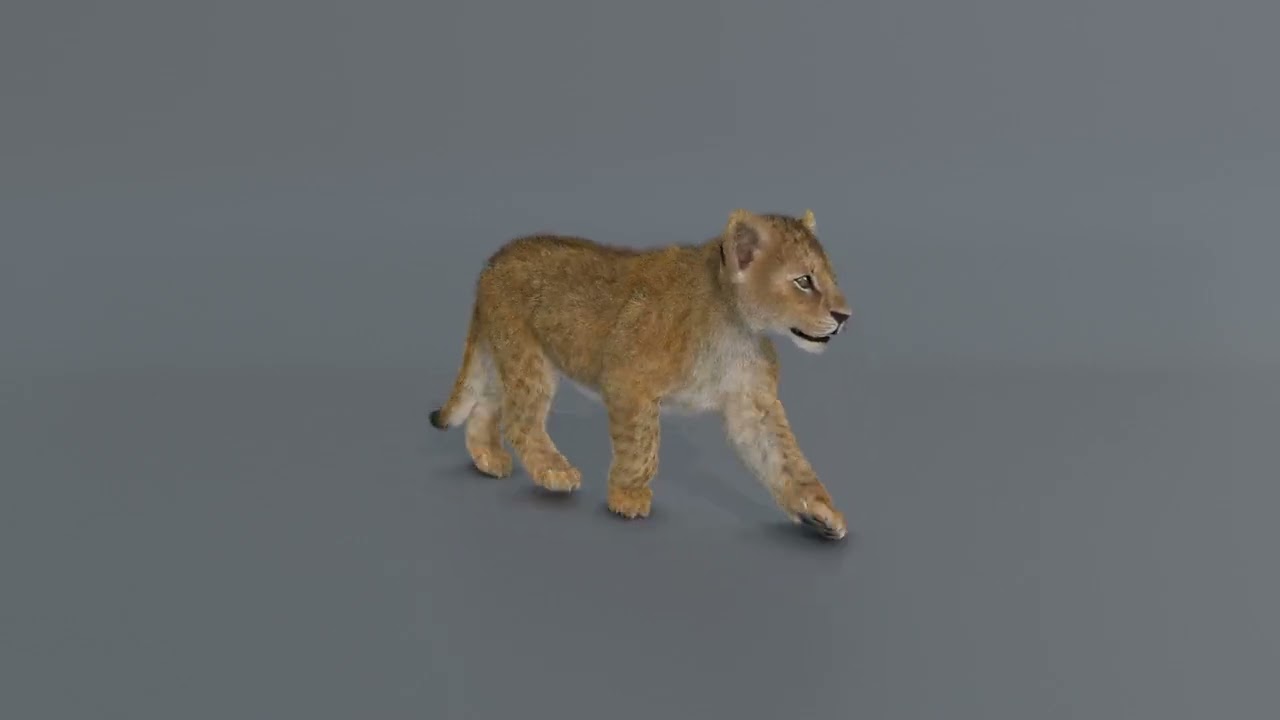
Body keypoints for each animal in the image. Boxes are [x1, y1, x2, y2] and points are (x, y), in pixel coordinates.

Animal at [429, 209, 853, 540]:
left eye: (831, 278)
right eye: (804, 281)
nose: (845, 316)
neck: (736, 326)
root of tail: (494, 259)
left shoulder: (752, 403)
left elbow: (784, 456)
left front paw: (819, 511)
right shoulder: (627, 379)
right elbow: (642, 444)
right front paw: (628, 496)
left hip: (505, 357)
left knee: (485, 406)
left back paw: (488, 459)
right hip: (529, 361)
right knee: (520, 421)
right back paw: (553, 471)